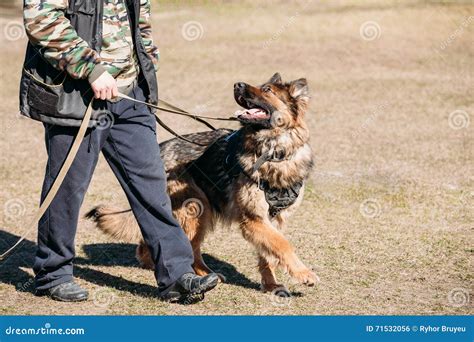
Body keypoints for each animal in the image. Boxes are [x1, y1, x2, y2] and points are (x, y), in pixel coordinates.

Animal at [89, 73, 318, 292]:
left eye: (267, 90)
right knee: (188, 246)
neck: (274, 152)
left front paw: (271, 285)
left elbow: (269, 253)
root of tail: (161, 150)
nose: (237, 84)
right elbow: (283, 245)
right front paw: (304, 273)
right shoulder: (254, 219)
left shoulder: (274, 220)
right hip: (196, 208)